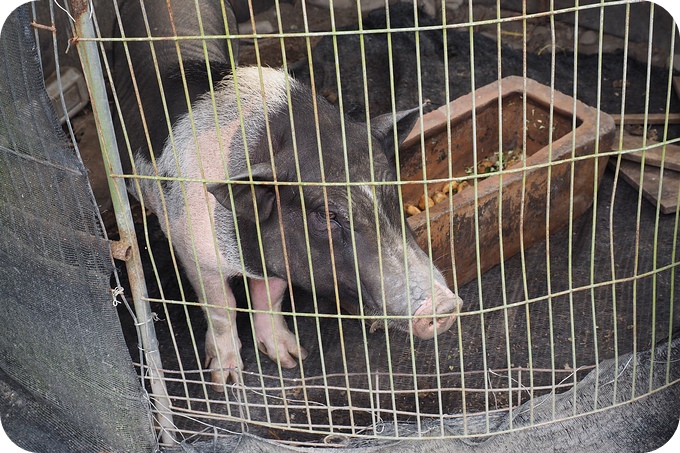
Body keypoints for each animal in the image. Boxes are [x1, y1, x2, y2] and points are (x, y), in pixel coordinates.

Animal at [113, 0, 462, 388]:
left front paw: (292, 360)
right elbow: (221, 306)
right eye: (327, 215)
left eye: (392, 188)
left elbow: (271, 295)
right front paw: (227, 381)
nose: (446, 306)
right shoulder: (191, 246)